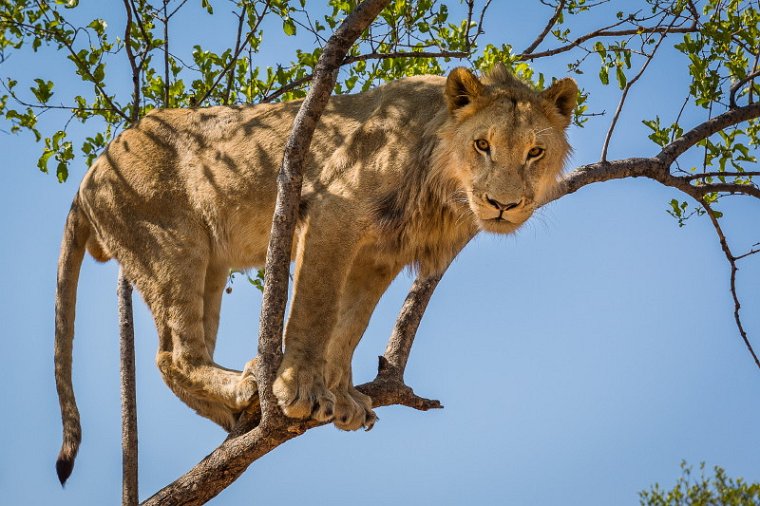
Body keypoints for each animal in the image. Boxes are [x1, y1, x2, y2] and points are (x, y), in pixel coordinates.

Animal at [53, 63, 576, 482]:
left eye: (535, 152)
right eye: (482, 145)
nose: (503, 204)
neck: (441, 184)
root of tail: (91, 172)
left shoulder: (380, 253)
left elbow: (348, 326)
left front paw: (341, 396)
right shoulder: (333, 208)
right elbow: (316, 308)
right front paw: (299, 388)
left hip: (211, 265)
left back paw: (237, 407)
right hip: (173, 245)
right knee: (172, 357)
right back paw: (247, 385)